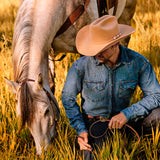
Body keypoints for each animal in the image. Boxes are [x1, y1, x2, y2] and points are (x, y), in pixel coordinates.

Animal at [4, 0, 136, 156]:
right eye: (21, 116)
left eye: (46, 111)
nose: (43, 152)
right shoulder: (49, 51)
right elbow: (52, 87)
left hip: (127, 13)